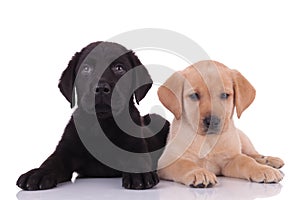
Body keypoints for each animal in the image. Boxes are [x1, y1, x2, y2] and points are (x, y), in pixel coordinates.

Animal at [17, 41, 169, 190]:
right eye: (86, 69)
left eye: (119, 68)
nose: (101, 88)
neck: (101, 124)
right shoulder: (65, 150)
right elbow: (51, 161)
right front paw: (38, 173)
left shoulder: (135, 146)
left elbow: (138, 159)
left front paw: (139, 173)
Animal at [157, 60, 284, 188]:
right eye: (194, 95)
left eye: (224, 95)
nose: (212, 121)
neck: (208, 140)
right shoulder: (167, 160)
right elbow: (185, 164)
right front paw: (199, 172)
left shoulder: (231, 159)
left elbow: (246, 161)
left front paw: (263, 169)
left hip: (243, 138)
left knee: (252, 154)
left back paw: (268, 160)